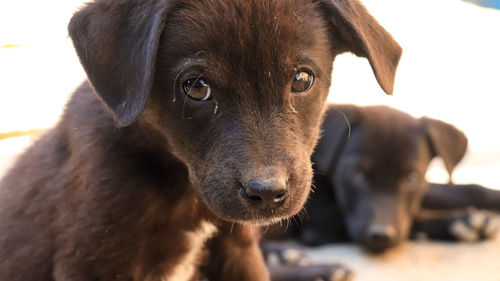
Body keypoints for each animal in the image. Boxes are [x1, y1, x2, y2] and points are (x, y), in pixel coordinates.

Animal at [0, 0, 400, 280]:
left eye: (302, 79)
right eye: (196, 87)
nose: (268, 193)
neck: (180, 187)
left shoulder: (236, 248)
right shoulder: (93, 262)